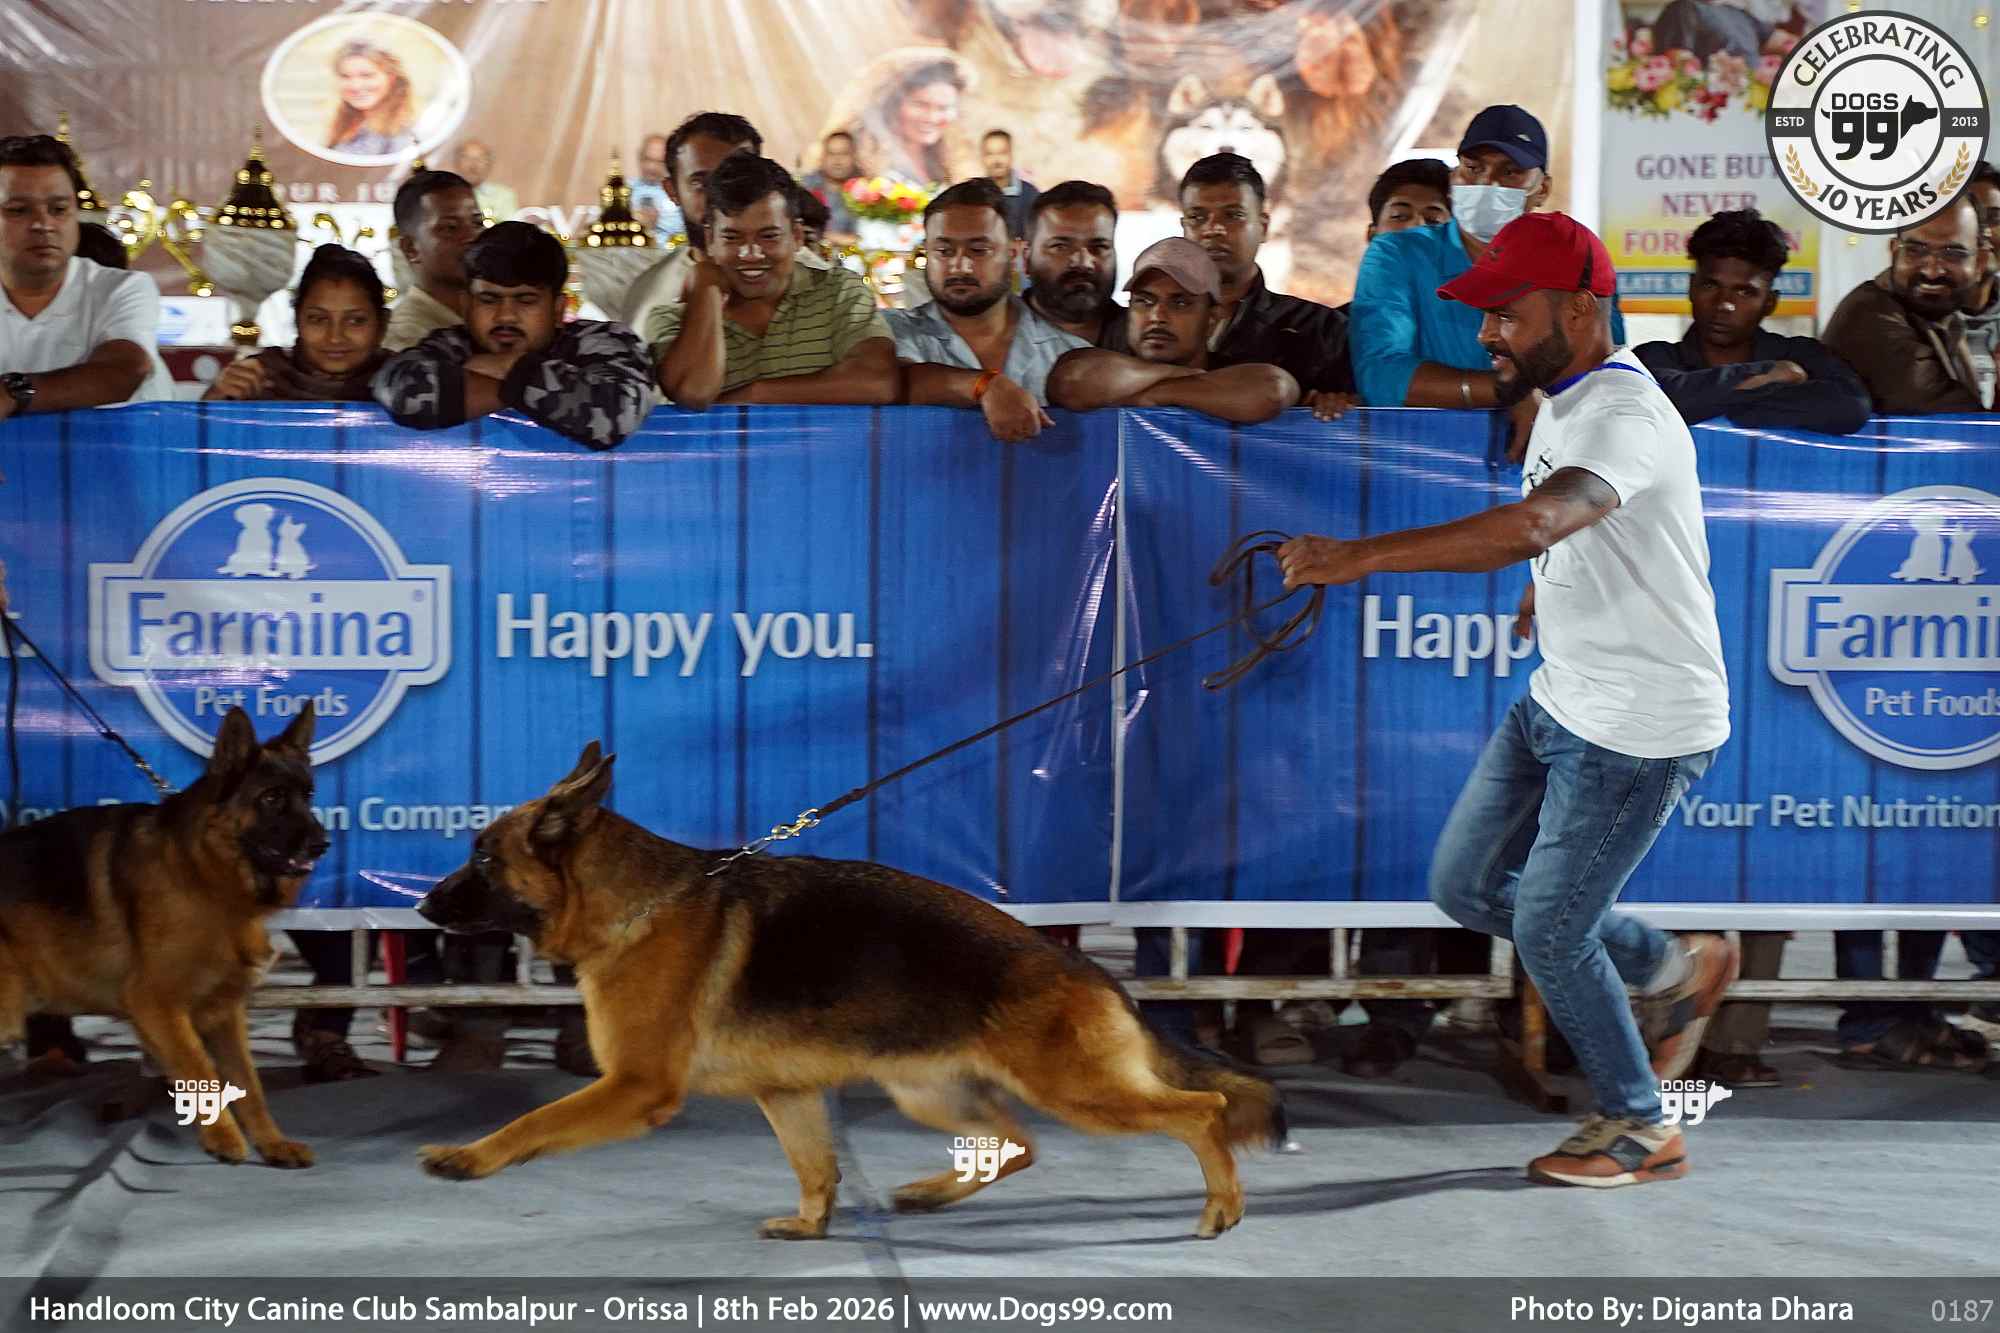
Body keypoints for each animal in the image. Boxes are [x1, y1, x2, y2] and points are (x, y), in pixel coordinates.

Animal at [0, 705, 328, 1168]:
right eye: (271, 798)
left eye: (308, 795)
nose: (323, 844)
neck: (202, 870)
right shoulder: (158, 1006)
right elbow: (202, 1073)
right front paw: (225, 1140)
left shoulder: (224, 1014)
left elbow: (250, 1086)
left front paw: (272, 1143)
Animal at [414, 743, 1284, 1239]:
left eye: (483, 858)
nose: (421, 905)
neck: (635, 902)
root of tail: (1092, 970)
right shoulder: (786, 1093)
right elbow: (814, 1167)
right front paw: (811, 1224)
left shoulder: (635, 1086)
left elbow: (532, 1120)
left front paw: (469, 1156)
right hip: (931, 1092)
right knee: (1019, 1143)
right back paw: (930, 1195)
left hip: (1077, 1091)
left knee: (1200, 1110)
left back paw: (1222, 1205)